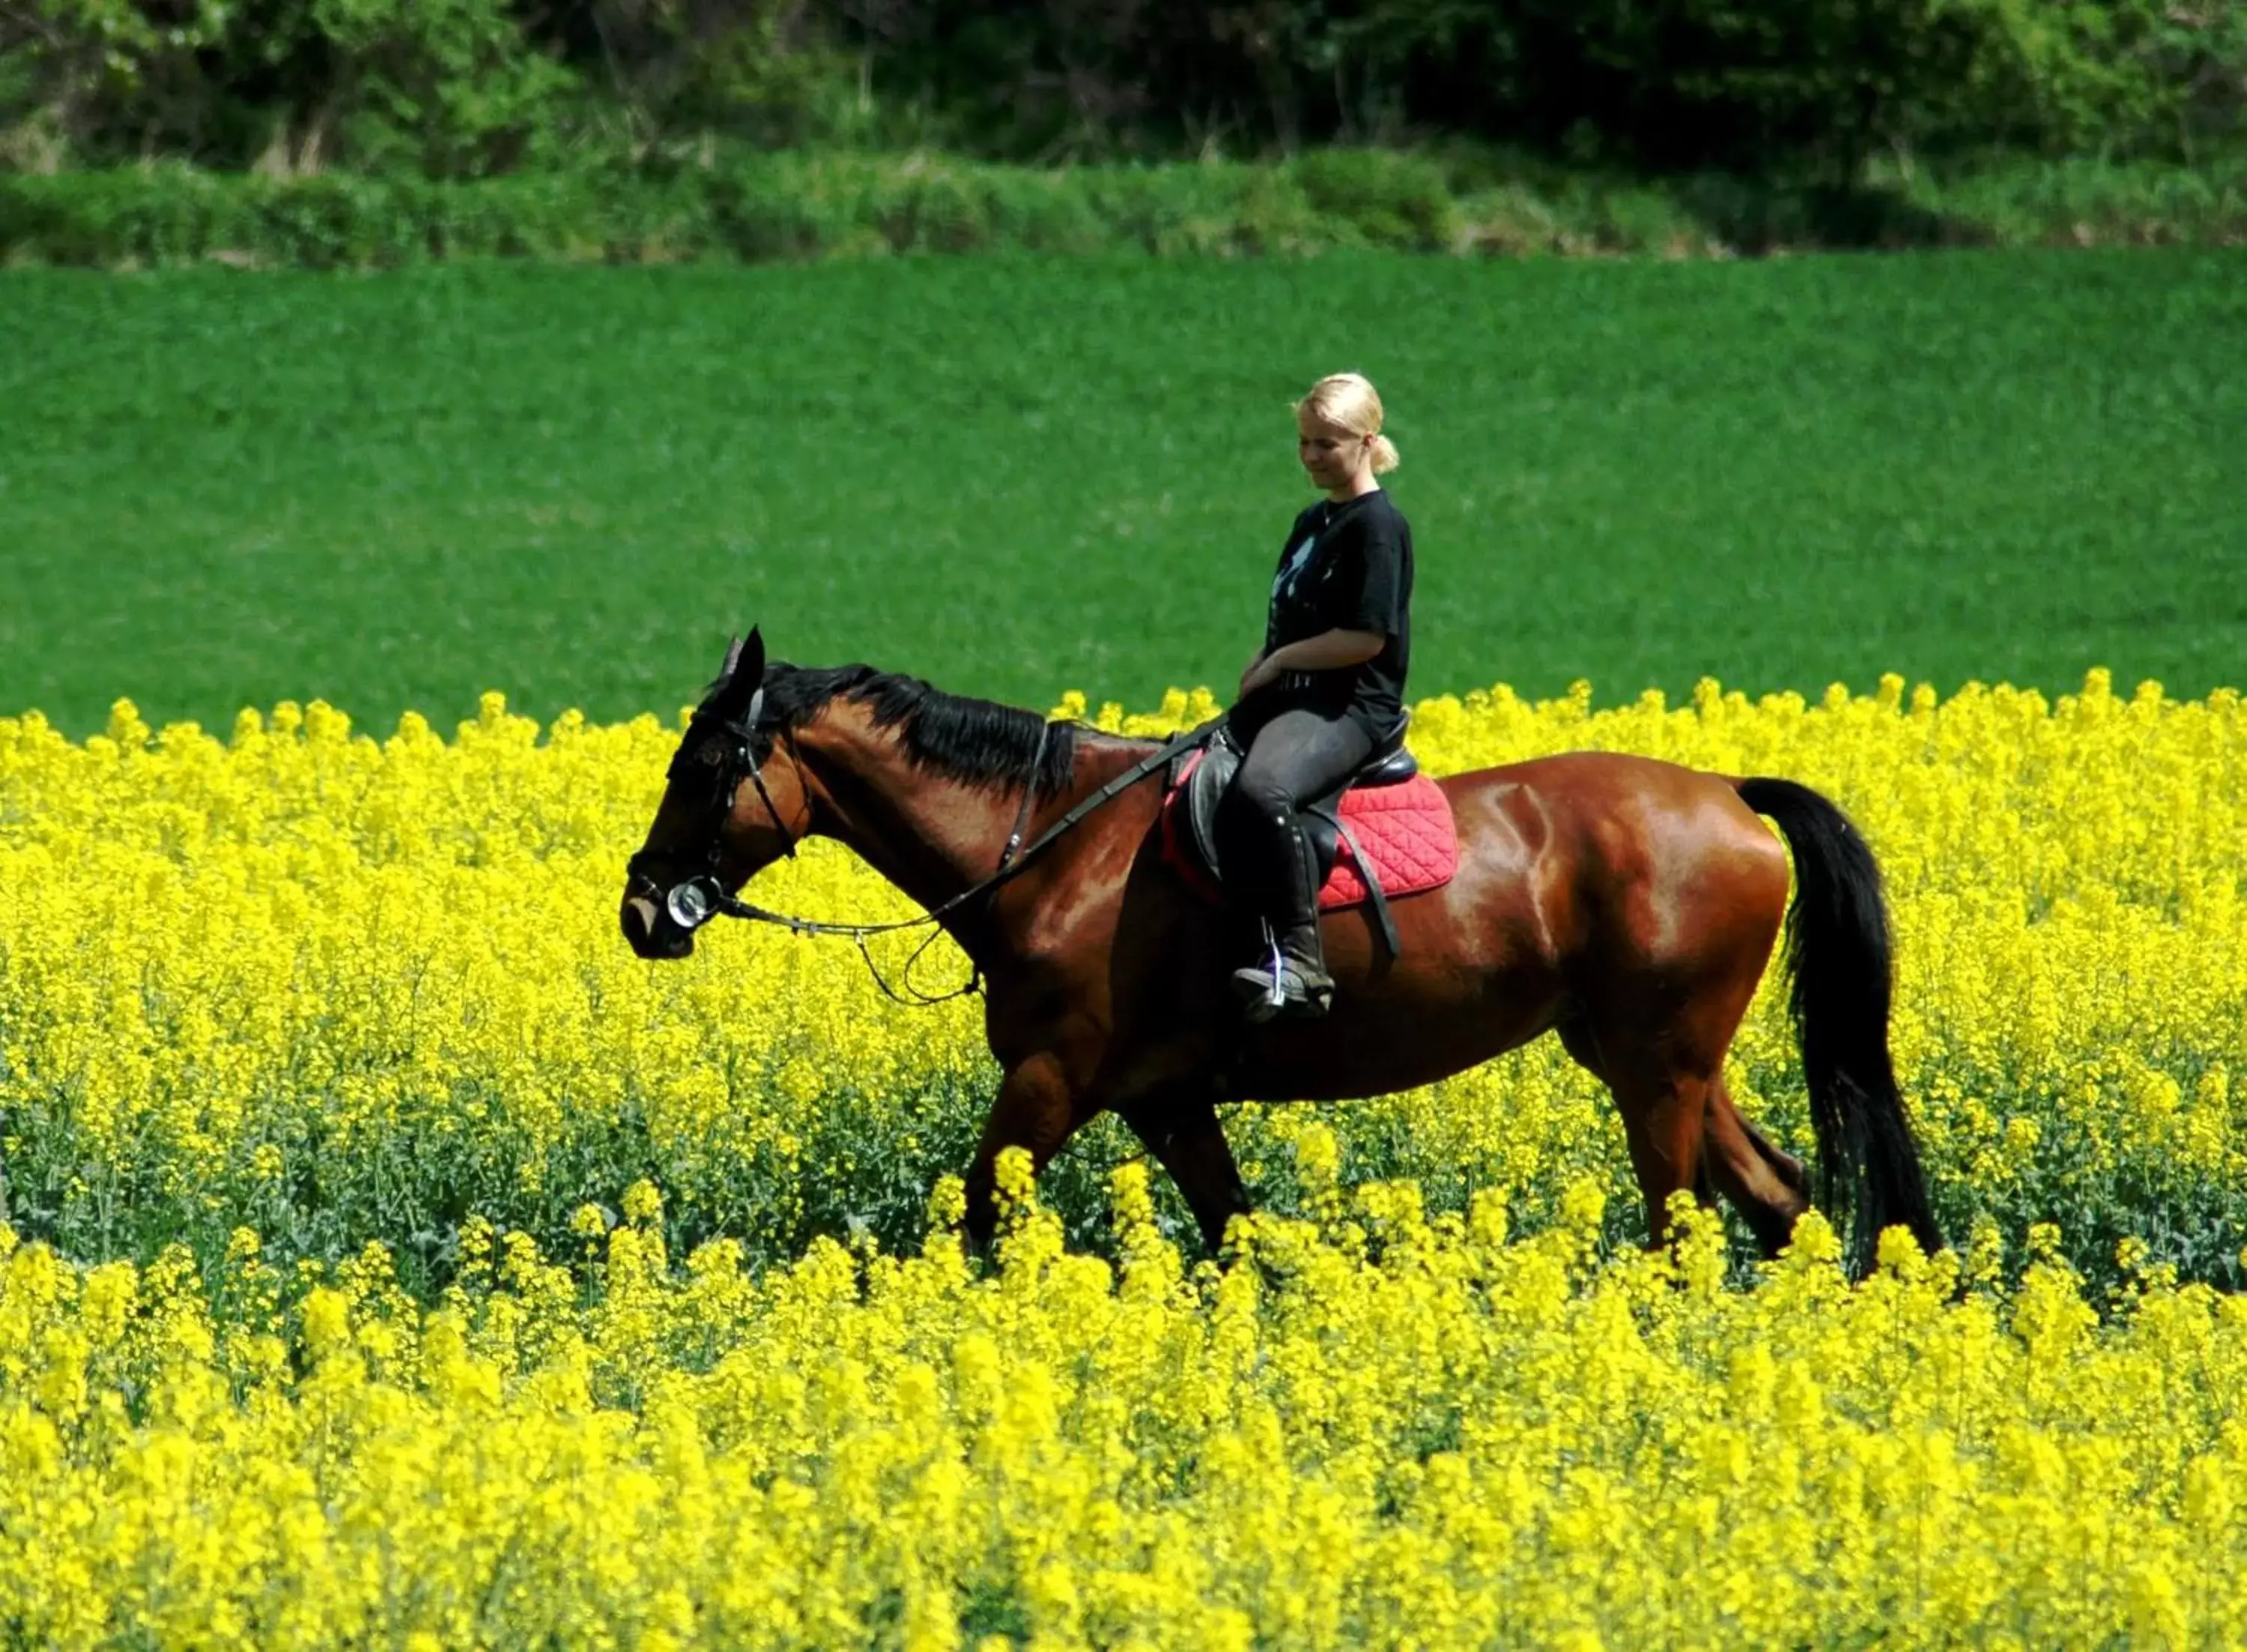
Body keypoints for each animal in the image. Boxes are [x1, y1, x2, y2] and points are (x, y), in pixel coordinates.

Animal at [625, 638, 1941, 1276]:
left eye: (704, 765)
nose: (643, 911)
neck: (1055, 847)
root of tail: (1726, 791)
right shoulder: (1162, 1100)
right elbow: (1241, 1235)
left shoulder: (1053, 1079)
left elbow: (977, 1211)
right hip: (1651, 1055)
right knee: (1780, 1199)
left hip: (1655, 1067)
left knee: (1683, 1222)